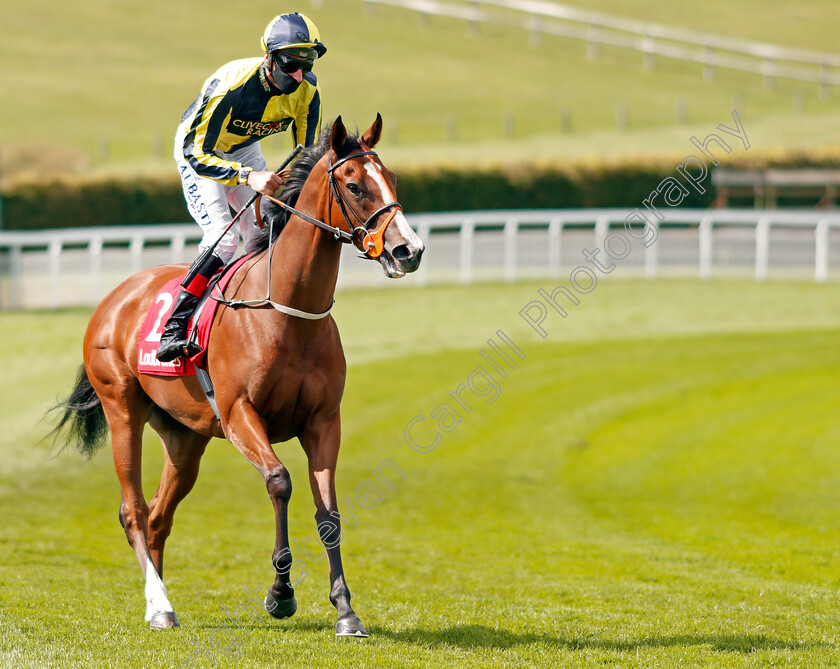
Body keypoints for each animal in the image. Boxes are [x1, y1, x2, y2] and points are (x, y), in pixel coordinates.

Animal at [49, 116, 424, 636]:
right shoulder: (239, 414)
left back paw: (157, 599)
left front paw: (346, 611)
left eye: (391, 179)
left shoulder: (323, 421)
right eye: (354, 186)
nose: (410, 250)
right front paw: (280, 595)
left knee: (159, 516)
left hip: (185, 437)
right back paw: (159, 604)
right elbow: (280, 482)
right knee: (134, 512)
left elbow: (329, 513)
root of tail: (115, 296)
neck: (286, 310)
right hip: (122, 408)